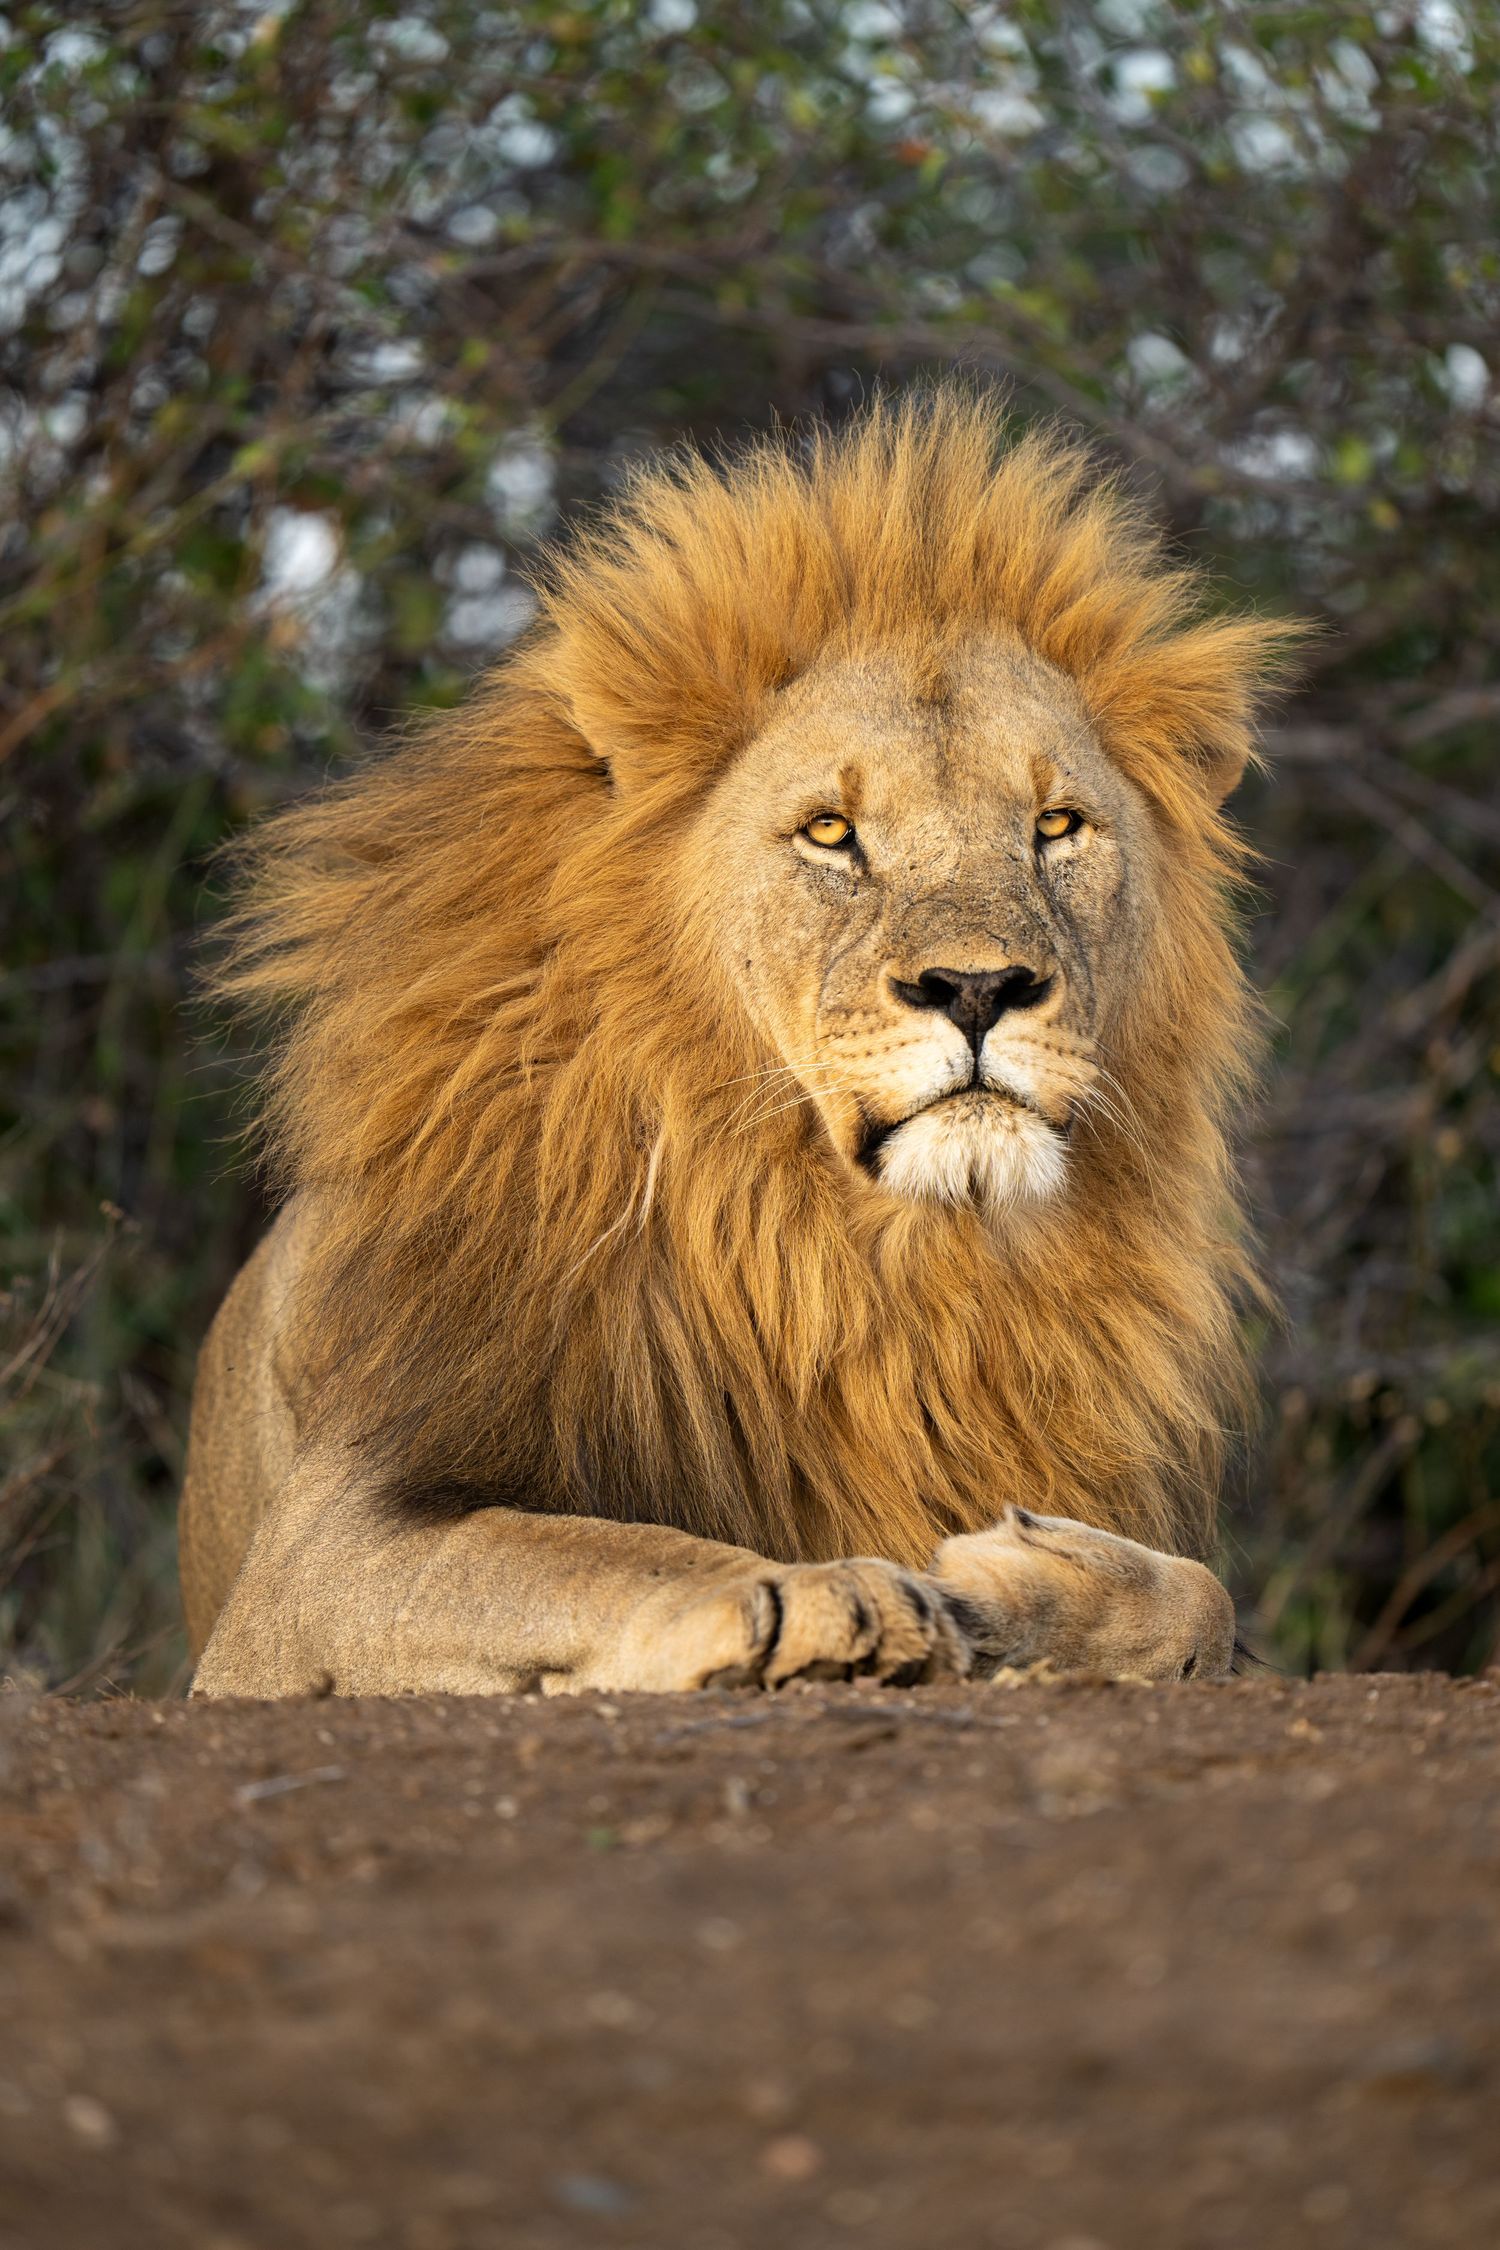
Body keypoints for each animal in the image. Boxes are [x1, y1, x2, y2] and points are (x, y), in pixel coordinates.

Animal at [182, 385, 1294, 1698]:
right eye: (830, 833)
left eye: (1058, 825)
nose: (979, 986)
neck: (861, 1251)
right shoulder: (310, 1559)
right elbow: (597, 1549)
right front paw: (812, 1598)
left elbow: (1207, 1595)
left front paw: (1018, 1592)